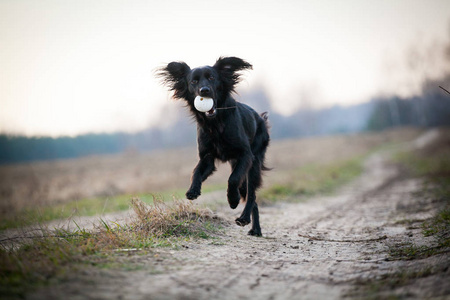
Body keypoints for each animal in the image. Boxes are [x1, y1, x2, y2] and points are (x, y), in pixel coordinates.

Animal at [158, 55, 270, 234]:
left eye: (211, 78)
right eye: (194, 81)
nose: (204, 91)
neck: (215, 123)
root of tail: (260, 118)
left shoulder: (245, 155)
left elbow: (233, 179)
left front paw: (232, 199)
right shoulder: (207, 157)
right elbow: (196, 172)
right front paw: (193, 190)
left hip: (254, 163)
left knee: (251, 194)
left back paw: (245, 219)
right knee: (248, 193)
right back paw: (254, 228)